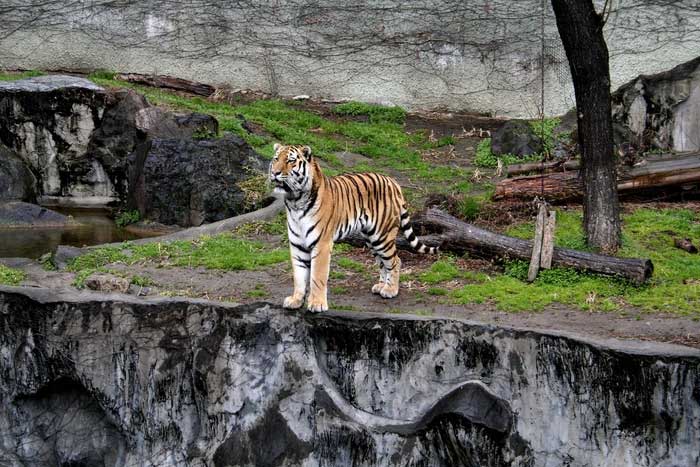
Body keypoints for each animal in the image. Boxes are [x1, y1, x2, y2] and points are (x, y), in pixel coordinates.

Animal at [269, 144, 437, 312]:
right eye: (276, 159)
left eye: (290, 161)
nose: (275, 172)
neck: (295, 201)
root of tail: (392, 181)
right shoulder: (297, 245)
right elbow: (299, 276)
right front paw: (296, 301)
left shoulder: (321, 245)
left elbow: (317, 276)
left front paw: (317, 304)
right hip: (371, 239)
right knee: (382, 263)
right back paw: (381, 286)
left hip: (382, 236)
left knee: (396, 260)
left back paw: (390, 290)